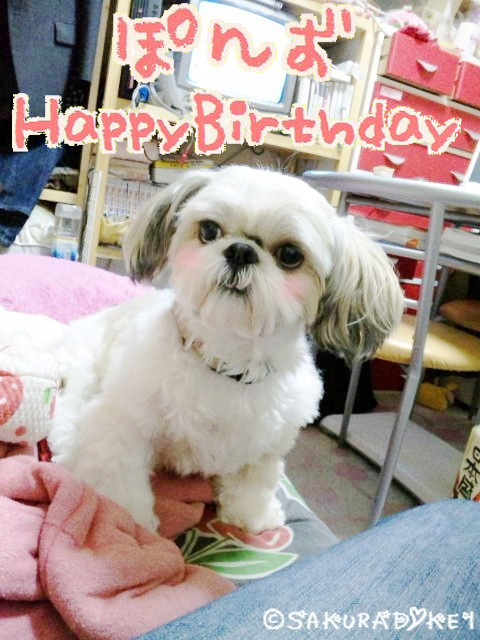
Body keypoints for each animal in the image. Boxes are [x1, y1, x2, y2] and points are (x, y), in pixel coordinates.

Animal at [48, 165, 403, 533]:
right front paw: (130, 522)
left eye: (291, 255)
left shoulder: (269, 443)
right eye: (209, 229)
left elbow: (254, 481)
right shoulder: (122, 423)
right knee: (71, 406)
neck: (227, 363)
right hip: (84, 364)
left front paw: (252, 516)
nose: (241, 250)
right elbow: (121, 479)